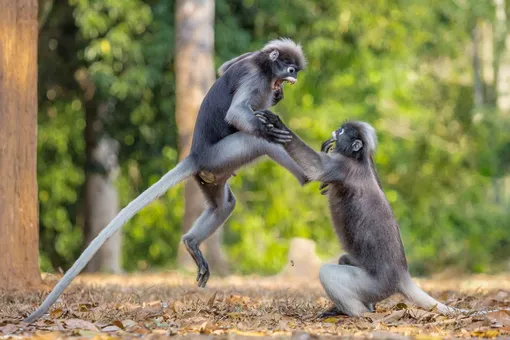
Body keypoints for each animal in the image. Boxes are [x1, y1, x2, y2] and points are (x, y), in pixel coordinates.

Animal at [25, 38, 306, 322]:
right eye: (291, 68)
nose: (292, 78)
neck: (263, 65)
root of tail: (194, 156)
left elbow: (224, 68)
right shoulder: (254, 75)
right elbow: (237, 114)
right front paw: (270, 122)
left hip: (212, 175)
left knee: (224, 205)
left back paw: (191, 243)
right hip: (222, 156)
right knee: (257, 141)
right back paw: (305, 175)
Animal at [256, 111, 508, 316]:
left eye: (342, 131)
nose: (334, 132)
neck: (357, 160)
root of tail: (402, 276)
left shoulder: (342, 167)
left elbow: (315, 168)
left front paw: (278, 124)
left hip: (374, 285)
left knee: (328, 272)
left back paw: (358, 315)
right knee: (344, 260)